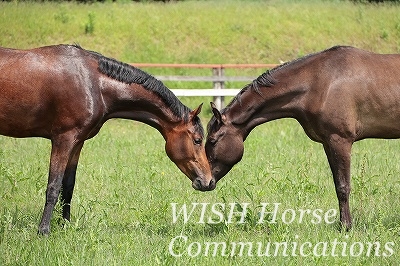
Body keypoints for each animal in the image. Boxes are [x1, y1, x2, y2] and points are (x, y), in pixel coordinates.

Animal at [0, 44, 216, 235]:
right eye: (197, 140)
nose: (209, 182)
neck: (93, 83)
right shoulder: (63, 139)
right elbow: (53, 186)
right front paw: (43, 230)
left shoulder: (77, 143)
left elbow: (68, 186)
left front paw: (65, 226)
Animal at [208, 45, 400, 229]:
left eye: (212, 141)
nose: (203, 182)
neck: (321, 83)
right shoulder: (328, 143)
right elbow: (337, 184)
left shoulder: (341, 141)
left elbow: (343, 186)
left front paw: (346, 227)